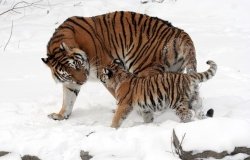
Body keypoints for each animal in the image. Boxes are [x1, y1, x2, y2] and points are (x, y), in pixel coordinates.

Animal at [41, 10, 197, 120]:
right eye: (68, 74)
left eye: (77, 65)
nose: (83, 81)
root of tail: (178, 31)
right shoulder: (70, 82)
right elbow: (68, 98)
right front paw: (61, 115)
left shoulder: (107, 69)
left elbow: (118, 93)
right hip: (174, 70)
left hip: (144, 68)